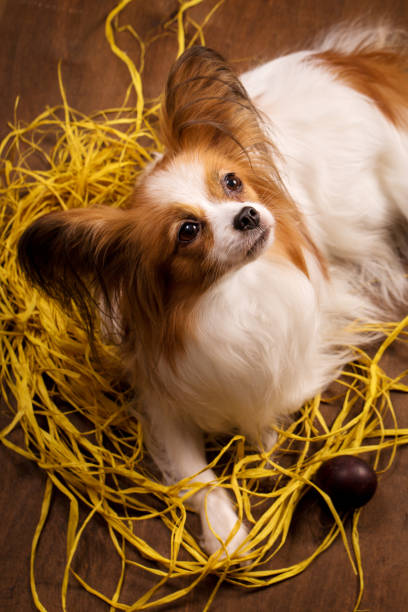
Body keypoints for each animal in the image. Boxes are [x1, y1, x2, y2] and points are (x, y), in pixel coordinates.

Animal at [17, 23, 408, 560]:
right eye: (187, 231)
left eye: (232, 182)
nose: (247, 214)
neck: (231, 294)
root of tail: (356, 64)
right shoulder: (165, 398)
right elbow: (195, 479)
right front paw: (225, 534)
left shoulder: (296, 352)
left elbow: (269, 400)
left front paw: (263, 435)